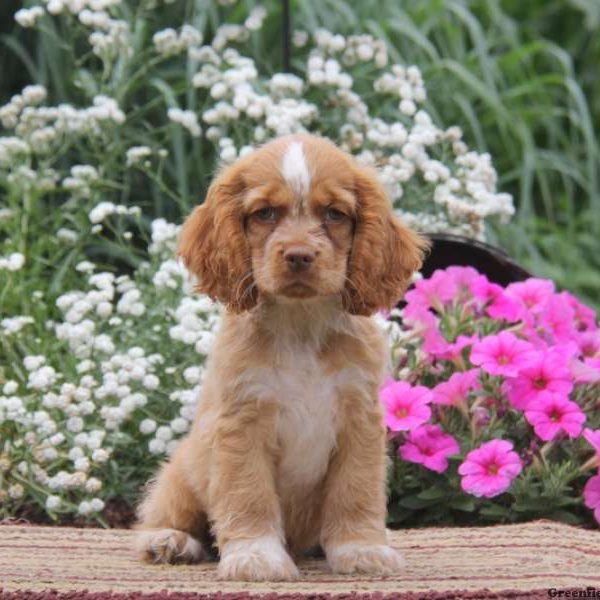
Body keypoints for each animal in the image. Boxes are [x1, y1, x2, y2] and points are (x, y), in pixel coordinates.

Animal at [136, 134, 426, 580]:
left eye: (335, 214)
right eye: (265, 213)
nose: (299, 255)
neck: (301, 324)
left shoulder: (359, 421)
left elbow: (356, 491)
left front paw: (362, 548)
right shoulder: (243, 424)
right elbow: (249, 494)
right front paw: (256, 556)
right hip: (182, 473)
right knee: (164, 512)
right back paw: (170, 541)